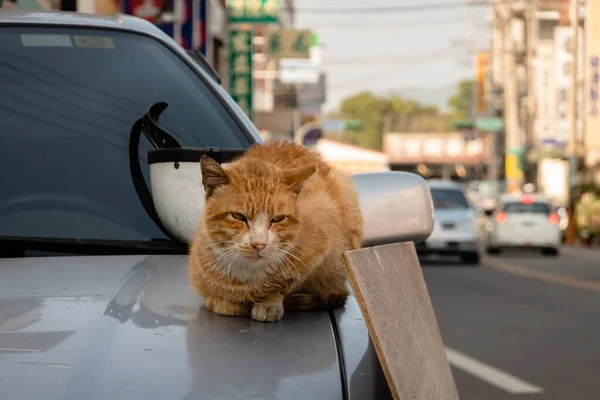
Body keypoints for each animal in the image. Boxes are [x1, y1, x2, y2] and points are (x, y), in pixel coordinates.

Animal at [190, 141, 364, 322]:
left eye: (278, 219)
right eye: (238, 216)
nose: (258, 245)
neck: (248, 273)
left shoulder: (321, 243)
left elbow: (283, 284)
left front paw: (268, 303)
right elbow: (217, 298)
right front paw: (226, 302)